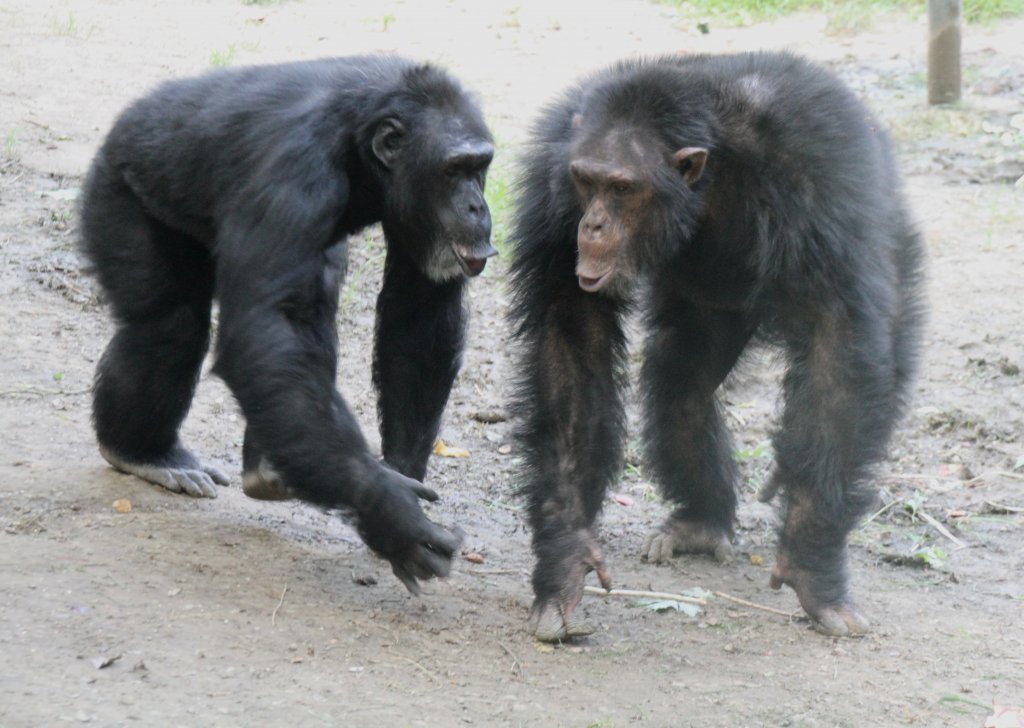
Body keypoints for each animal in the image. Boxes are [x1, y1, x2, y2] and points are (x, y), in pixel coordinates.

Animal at [79, 55, 495, 593]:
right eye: (453, 170)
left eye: (481, 168)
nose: (478, 206)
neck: (358, 145)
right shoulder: (294, 171)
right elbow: (265, 326)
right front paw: (387, 510)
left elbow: (419, 311)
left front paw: (401, 475)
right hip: (119, 194)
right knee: (168, 325)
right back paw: (142, 452)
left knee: (316, 287)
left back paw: (262, 467)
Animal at [507, 51, 925, 638]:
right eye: (586, 181)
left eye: (622, 188)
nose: (592, 226)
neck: (709, 174)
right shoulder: (552, 189)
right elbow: (571, 342)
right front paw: (567, 558)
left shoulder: (820, 166)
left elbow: (837, 340)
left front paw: (813, 561)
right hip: (709, 311)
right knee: (682, 383)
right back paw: (701, 522)